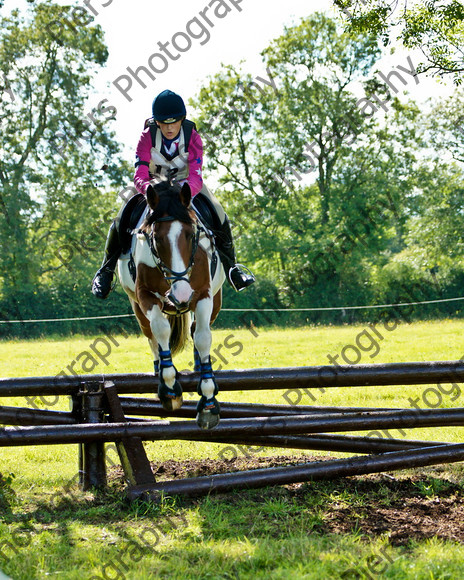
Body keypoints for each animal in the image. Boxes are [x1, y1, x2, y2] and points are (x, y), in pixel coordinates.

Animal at [118, 181, 226, 430]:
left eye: (190, 234)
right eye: (156, 238)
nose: (181, 294)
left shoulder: (204, 295)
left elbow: (203, 338)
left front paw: (208, 401)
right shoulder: (145, 295)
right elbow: (160, 330)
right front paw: (169, 387)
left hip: (215, 299)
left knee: (196, 330)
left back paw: (198, 366)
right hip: (137, 305)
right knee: (152, 336)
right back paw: (160, 369)